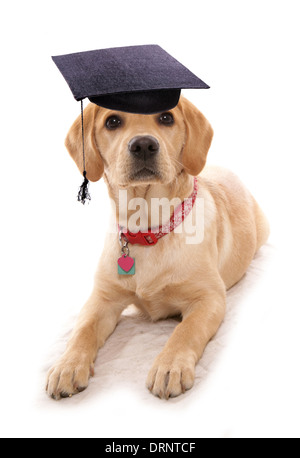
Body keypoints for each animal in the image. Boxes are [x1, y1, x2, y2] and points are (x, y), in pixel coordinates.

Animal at [46, 97, 270, 400]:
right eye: (112, 121)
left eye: (166, 118)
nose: (143, 145)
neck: (148, 231)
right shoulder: (102, 298)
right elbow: (82, 330)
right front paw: (67, 365)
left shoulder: (209, 298)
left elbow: (186, 331)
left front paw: (170, 365)